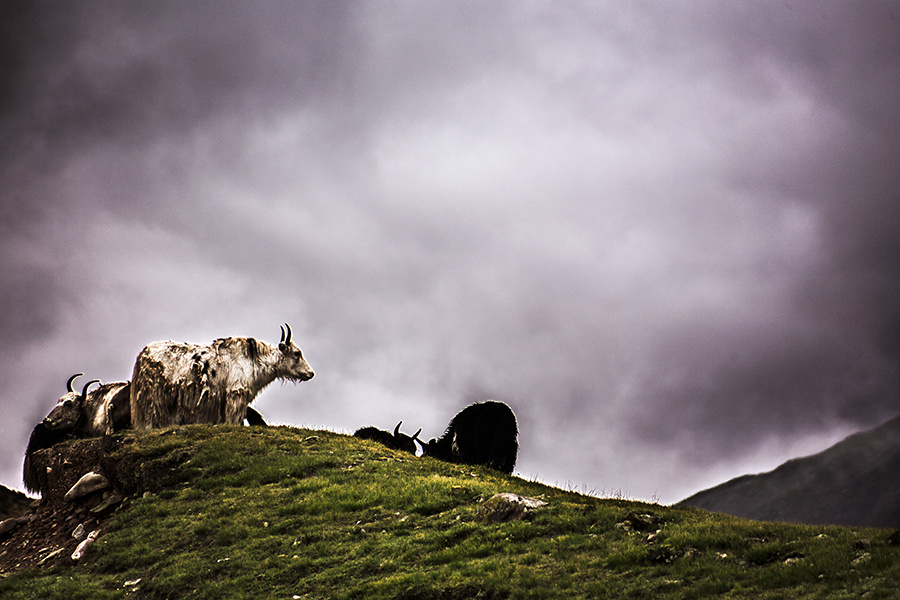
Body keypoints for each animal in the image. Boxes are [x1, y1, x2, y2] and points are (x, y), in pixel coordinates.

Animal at [129, 323, 314, 429]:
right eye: (296, 353)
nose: (311, 373)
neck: (253, 360)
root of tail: (142, 355)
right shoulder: (236, 393)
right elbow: (234, 417)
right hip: (153, 395)